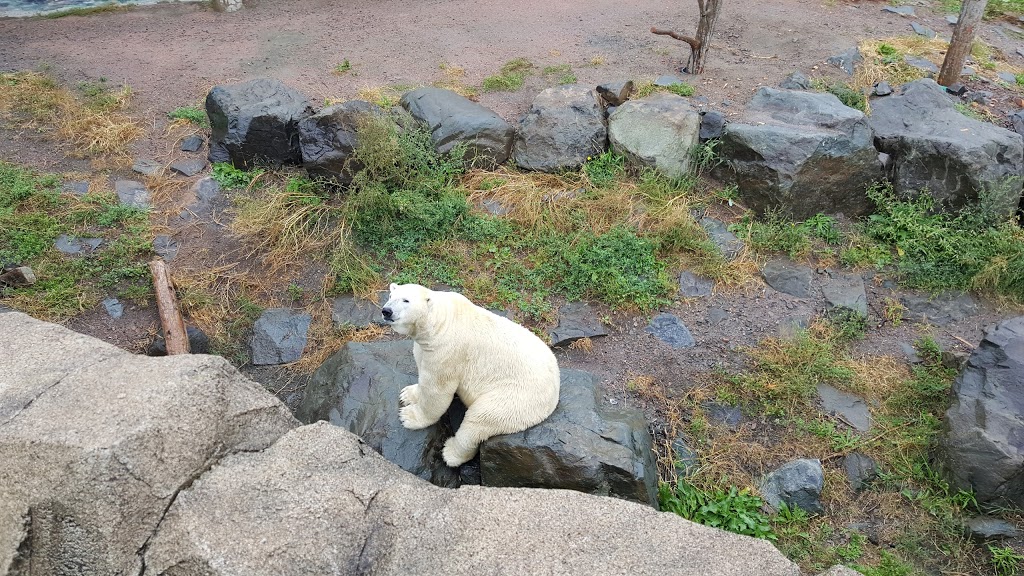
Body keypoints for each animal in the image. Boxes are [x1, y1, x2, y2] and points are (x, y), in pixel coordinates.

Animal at [382, 282, 561, 467]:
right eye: (390, 296)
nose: (386, 311)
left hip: (518, 397)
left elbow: (437, 390)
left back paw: (450, 452)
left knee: (481, 417)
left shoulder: (448, 351)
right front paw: (407, 394)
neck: (441, 323)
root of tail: (556, 388)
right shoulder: (425, 347)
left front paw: (409, 416)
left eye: (406, 300)